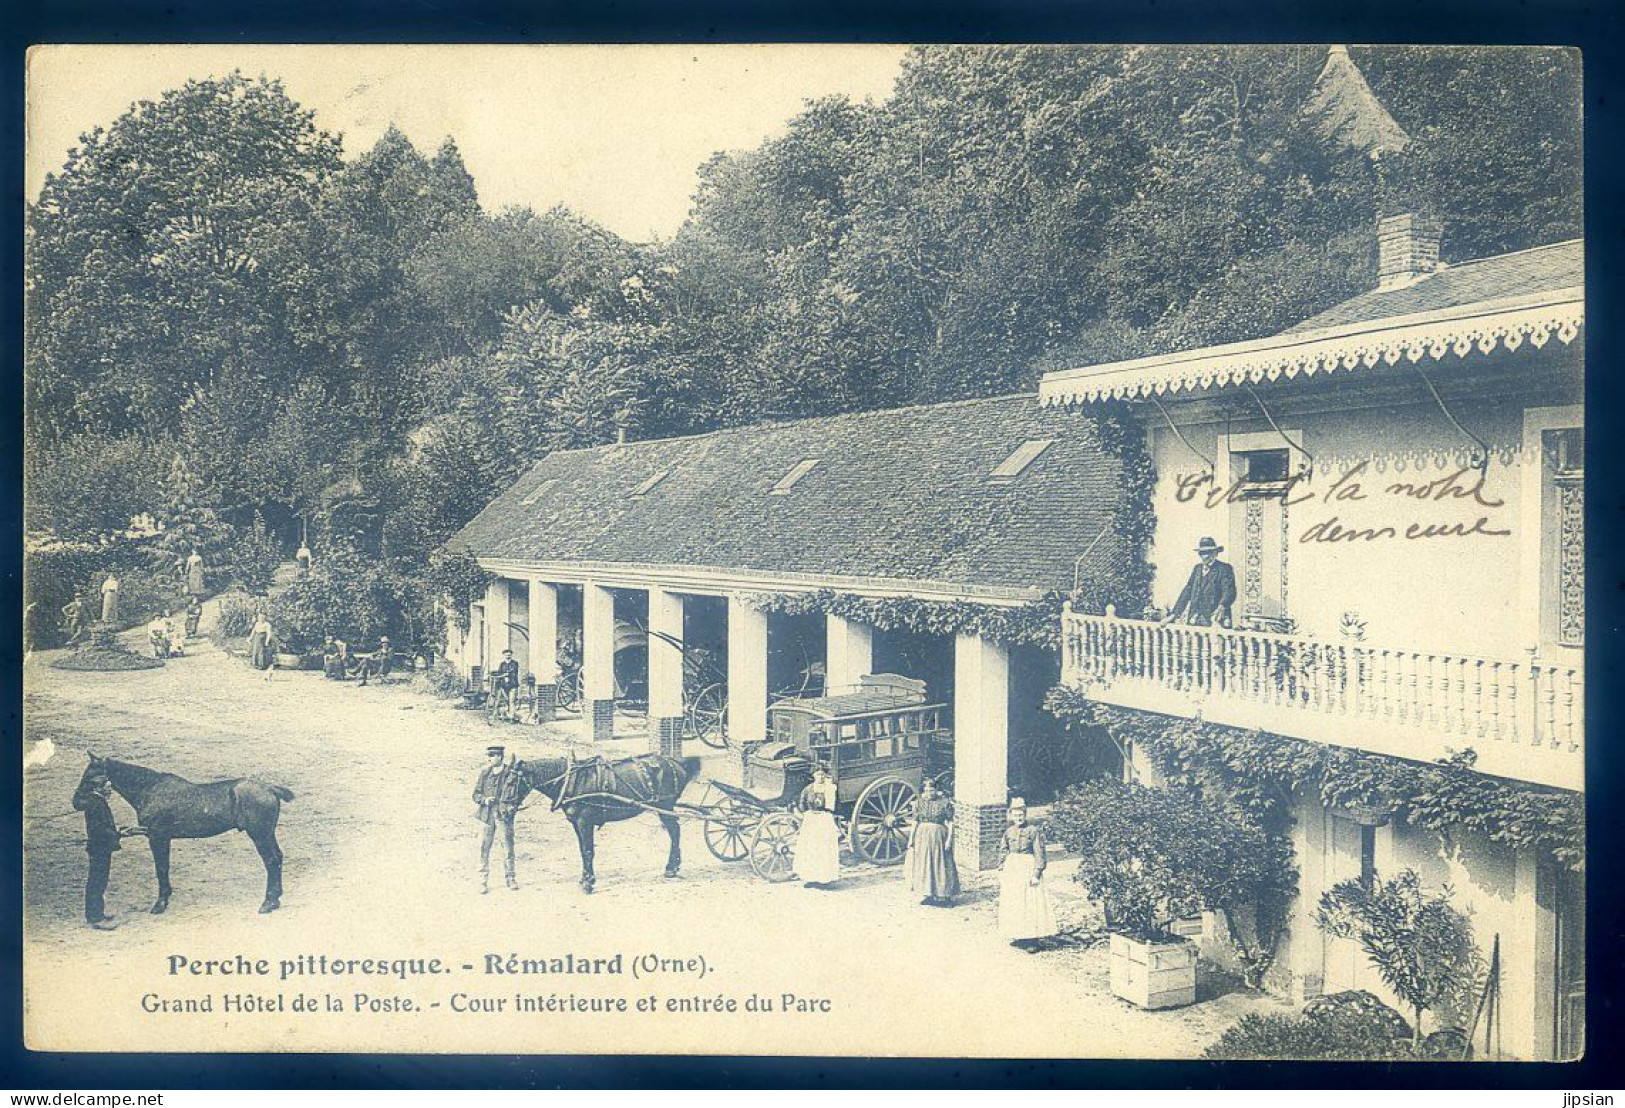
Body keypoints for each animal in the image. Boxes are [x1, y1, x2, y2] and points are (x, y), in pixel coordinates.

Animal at [77, 750, 294, 916]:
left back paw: (268, 903)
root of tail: (270, 788)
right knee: (277, 858)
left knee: (271, 861)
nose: (76, 801)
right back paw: (275, 900)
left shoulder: (157, 837)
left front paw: (160, 904)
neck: (149, 789)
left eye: (90, 775)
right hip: (267, 834)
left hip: (260, 835)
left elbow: (161, 868)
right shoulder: (163, 838)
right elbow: (163, 868)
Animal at [516, 747, 695, 890]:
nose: (509, 806)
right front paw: (584, 878)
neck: (572, 780)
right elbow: (582, 850)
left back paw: (671, 867)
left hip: (665, 807)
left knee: (675, 832)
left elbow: (588, 850)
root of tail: (674, 762)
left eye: (512, 781)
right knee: (675, 831)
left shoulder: (585, 821)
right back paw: (674, 866)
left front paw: (588, 882)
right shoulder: (576, 823)